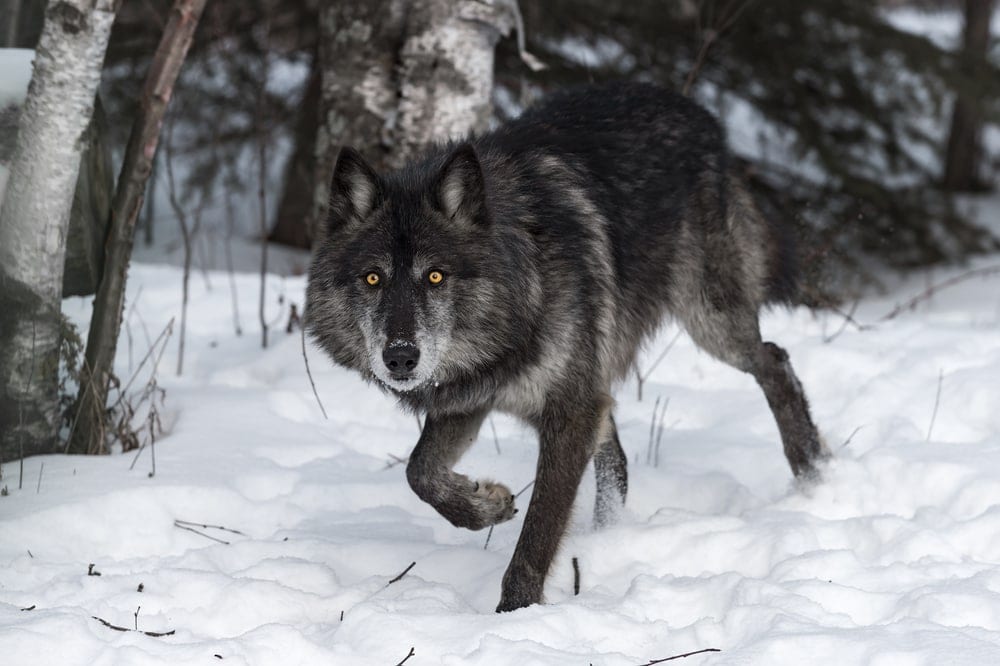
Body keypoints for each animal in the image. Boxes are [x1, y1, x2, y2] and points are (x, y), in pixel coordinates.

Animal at [305, 81, 827, 612]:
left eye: (435, 276)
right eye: (373, 278)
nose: (400, 358)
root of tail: (696, 109)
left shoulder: (569, 410)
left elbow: (537, 534)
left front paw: (514, 614)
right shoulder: (471, 399)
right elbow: (419, 472)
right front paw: (487, 504)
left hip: (709, 321)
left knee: (775, 360)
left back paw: (812, 473)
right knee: (617, 458)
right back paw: (608, 537)